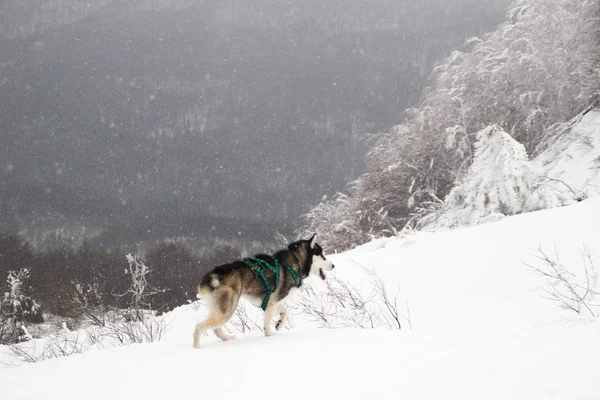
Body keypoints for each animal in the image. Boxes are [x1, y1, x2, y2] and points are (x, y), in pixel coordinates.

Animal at [192, 233, 332, 348]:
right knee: (199, 327)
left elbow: (285, 311)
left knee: (216, 329)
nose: (333, 265)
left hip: (222, 308)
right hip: (227, 309)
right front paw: (269, 334)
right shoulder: (272, 302)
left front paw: (279, 324)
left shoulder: (272, 301)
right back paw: (197, 347)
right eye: (322, 255)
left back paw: (227, 338)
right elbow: (268, 321)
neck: (296, 261)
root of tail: (213, 275)